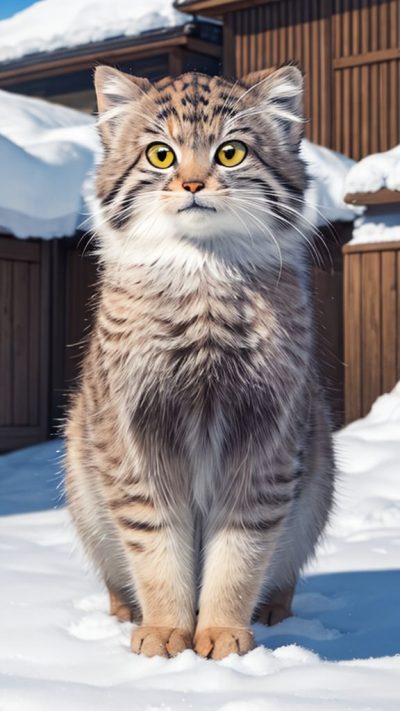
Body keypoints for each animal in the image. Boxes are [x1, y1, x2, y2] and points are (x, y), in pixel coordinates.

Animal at [65, 67, 334, 660]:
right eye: (161, 155)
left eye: (230, 153)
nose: (191, 184)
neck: (203, 278)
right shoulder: (136, 437)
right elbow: (155, 546)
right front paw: (167, 631)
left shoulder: (266, 439)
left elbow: (240, 552)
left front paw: (222, 634)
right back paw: (127, 615)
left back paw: (274, 613)